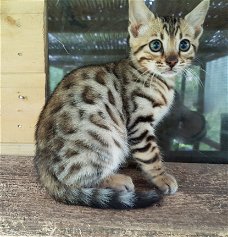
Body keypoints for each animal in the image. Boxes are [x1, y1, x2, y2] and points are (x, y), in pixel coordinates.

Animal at [34, 0, 209, 208]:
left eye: (184, 44)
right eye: (156, 45)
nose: (172, 61)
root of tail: (43, 168)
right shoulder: (138, 120)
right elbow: (150, 154)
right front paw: (161, 177)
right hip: (105, 137)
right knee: (74, 178)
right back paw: (116, 180)